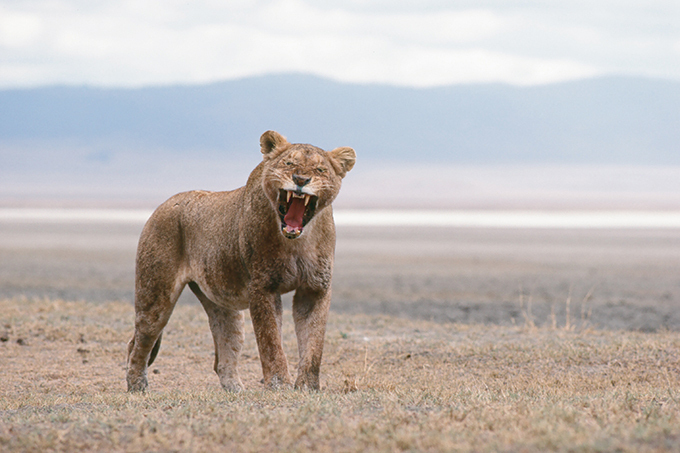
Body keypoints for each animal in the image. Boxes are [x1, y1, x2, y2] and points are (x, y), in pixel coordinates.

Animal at [125, 131, 356, 392]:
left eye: (319, 169)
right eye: (288, 163)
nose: (300, 179)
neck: (297, 241)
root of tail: (161, 206)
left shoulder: (314, 289)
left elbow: (313, 343)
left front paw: (308, 387)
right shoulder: (263, 286)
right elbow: (270, 341)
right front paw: (279, 385)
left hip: (224, 304)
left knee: (224, 352)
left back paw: (236, 391)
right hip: (155, 295)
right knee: (139, 342)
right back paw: (137, 386)